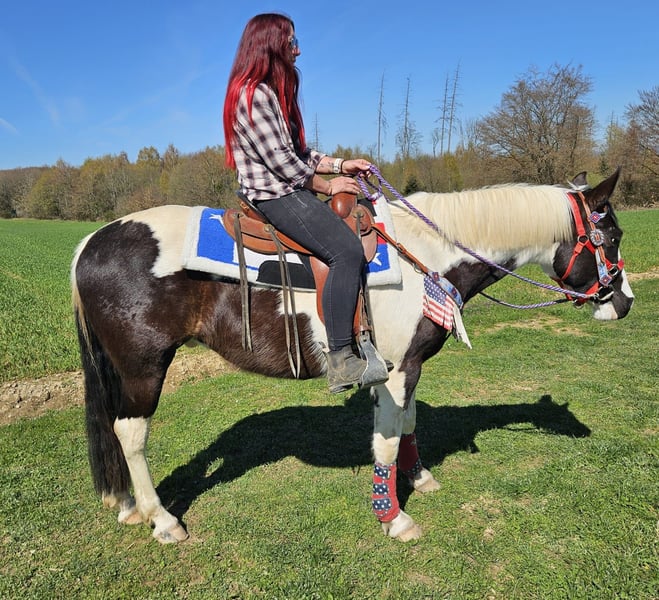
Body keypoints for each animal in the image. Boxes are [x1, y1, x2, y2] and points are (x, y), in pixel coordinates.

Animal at [71, 169, 634, 543]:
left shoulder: (411, 368)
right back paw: (161, 519)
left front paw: (420, 478)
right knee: (130, 433)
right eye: (610, 237)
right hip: (143, 367)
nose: (624, 303)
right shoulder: (396, 370)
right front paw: (394, 517)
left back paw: (127, 505)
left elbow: (408, 425)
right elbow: (386, 440)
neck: (427, 254)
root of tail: (89, 242)